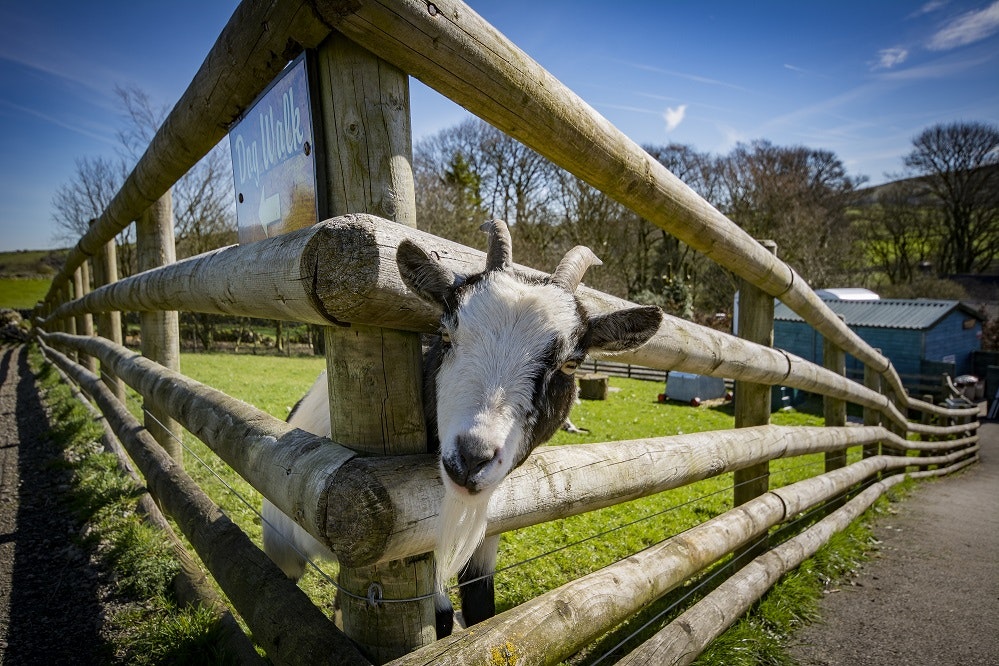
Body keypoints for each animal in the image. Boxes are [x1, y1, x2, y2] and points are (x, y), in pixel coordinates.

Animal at [262, 220, 663, 637]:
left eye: (570, 364)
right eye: (446, 335)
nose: (471, 459)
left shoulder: (486, 537)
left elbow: (481, 609)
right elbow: (440, 620)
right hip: (281, 539)